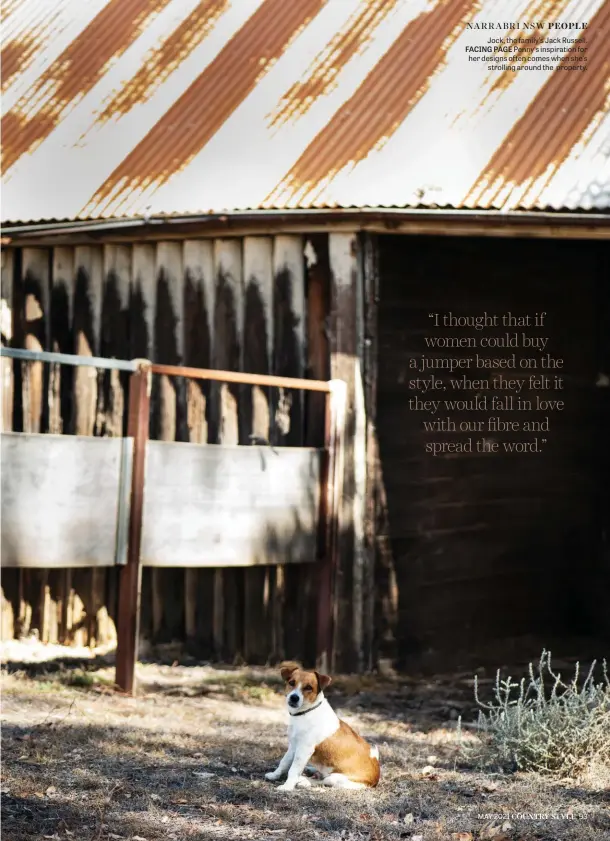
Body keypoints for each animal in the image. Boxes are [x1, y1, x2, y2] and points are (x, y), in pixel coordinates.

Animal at [264, 660, 378, 792]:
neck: (306, 713)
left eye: (308, 687)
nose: (294, 697)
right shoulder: (293, 746)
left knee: (323, 780)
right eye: (291, 683)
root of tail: (375, 779)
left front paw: (288, 786)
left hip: (335, 778)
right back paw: (310, 770)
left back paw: (304, 780)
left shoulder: (304, 749)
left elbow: (293, 770)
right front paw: (274, 775)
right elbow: (284, 762)